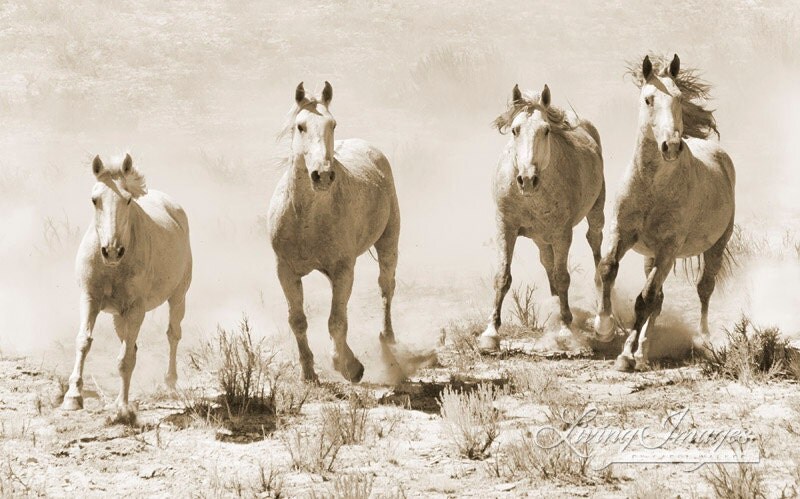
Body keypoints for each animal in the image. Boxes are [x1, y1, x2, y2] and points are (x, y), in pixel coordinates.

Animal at [61, 154, 192, 419]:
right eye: (94, 200)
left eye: (128, 200)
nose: (112, 251)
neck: (112, 267)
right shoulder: (89, 299)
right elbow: (83, 342)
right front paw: (73, 397)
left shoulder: (135, 309)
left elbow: (125, 359)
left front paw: (122, 408)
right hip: (118, 316)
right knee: (131, 342)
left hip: (177, 298)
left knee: (173, 335)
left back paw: (170, 385)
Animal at [268, 82, 401, 383]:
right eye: (300, 126)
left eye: (333, 124)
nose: (323, 175)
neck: (305, 219)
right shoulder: (285, 271)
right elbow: (298, 320)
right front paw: (308, 374)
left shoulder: (343, 269)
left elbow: (336, 321)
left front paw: (350, 366)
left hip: (388, 242)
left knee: (386, 287)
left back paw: (387, 338)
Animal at [478, 84, 605, 352]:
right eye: (515, 130)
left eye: (546, 130)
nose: (527, 179)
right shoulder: (505, 226)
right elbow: (502, 276)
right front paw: (490, 334)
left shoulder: (562, 233)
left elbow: (563, 277)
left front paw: (566, 330)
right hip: (541, 239)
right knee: (548, 265)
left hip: (595, 214)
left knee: (596, 251)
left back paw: (601, 318)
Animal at [594, 54, 735, 372]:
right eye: (648, 99)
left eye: (679, 98)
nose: (670, 146)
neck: (651, 187)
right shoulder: (621, 233)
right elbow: (608, 269)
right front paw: (604, 327)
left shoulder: (668, 249)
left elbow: (644, 300)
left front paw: (625, 355)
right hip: (650, 256)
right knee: (659, 299)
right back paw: (643, 352)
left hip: (715, 246)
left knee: (703, 288)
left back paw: (703, 338)